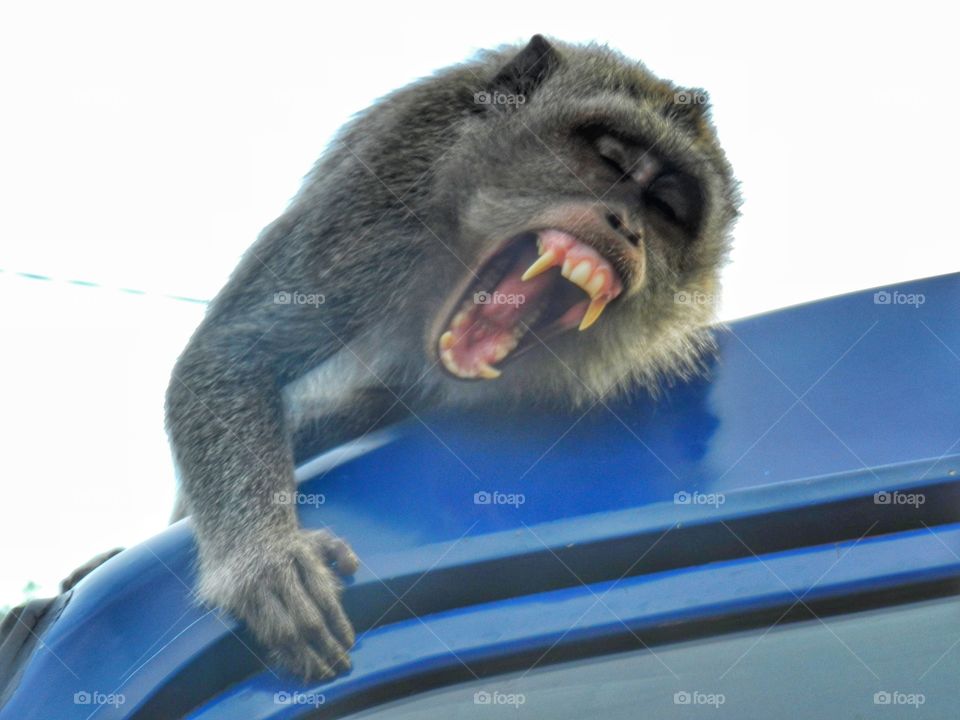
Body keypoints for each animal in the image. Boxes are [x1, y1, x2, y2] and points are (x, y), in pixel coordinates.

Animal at [164, 34, 740, 680]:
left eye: (665, 207)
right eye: (609, 160)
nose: (626, 225)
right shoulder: (379, 199)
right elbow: (234, 354)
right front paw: (266, 559)